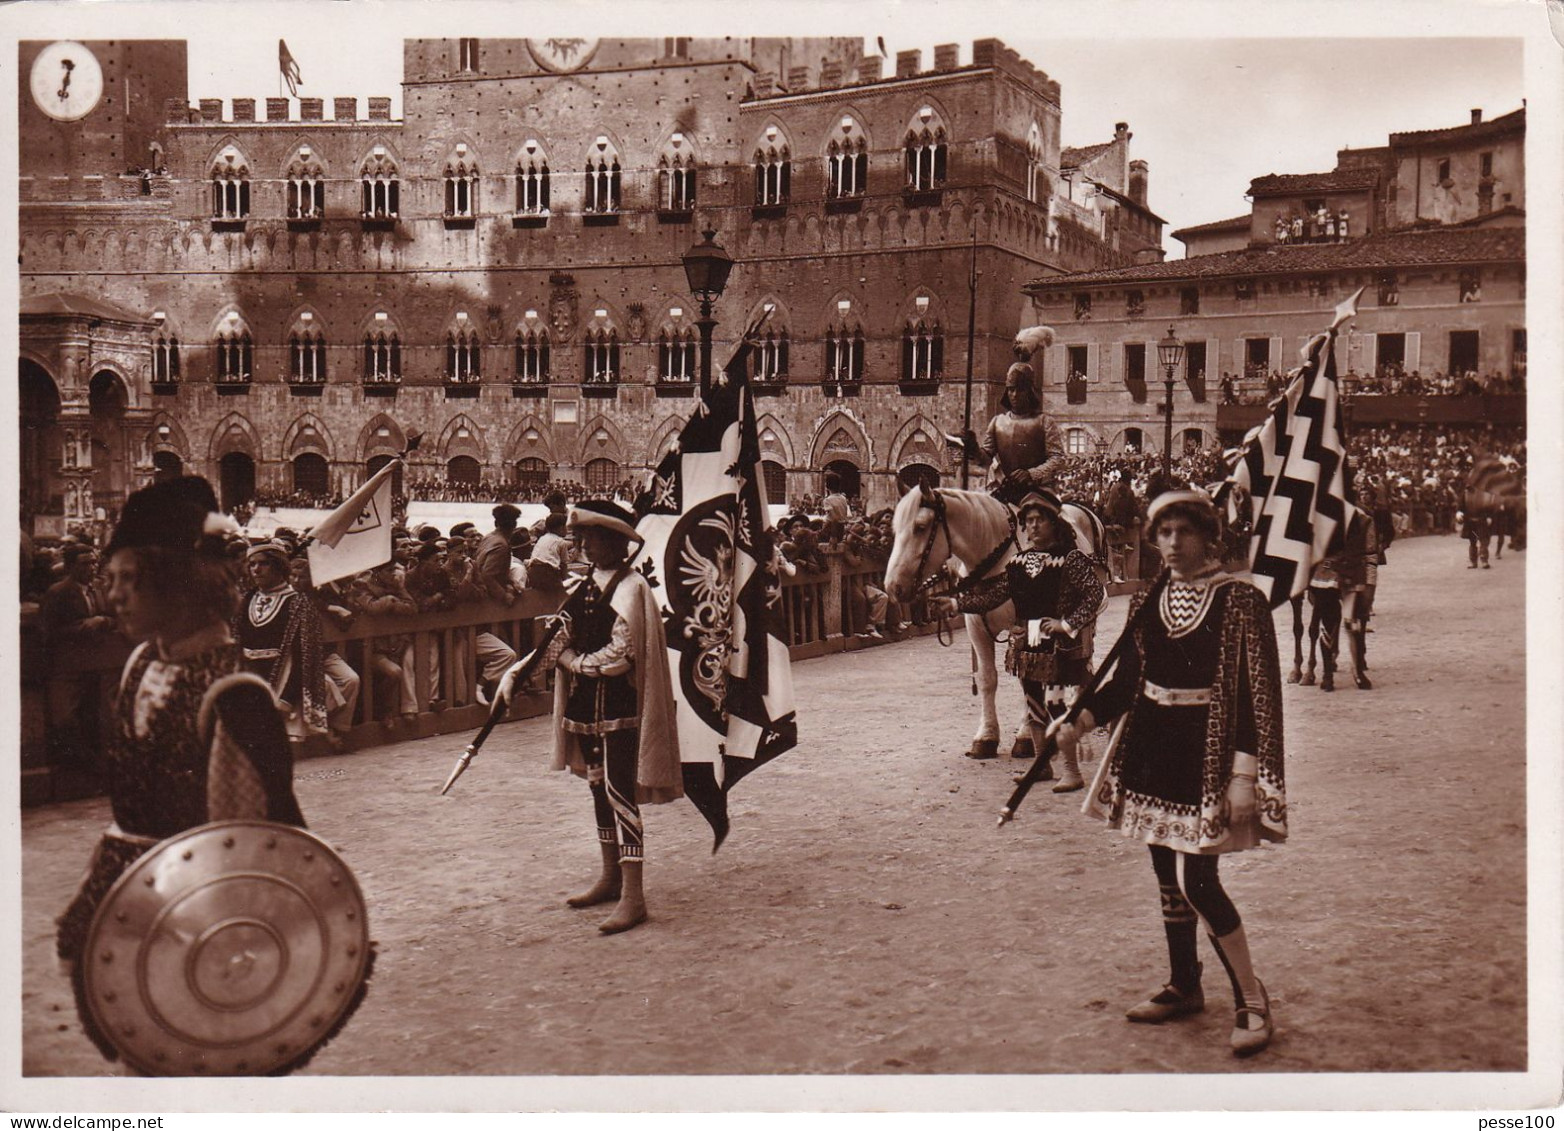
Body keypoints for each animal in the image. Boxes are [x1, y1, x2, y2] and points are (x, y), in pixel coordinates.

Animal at [888, 484, 1107, 760]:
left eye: (920, 526)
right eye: (895, 528)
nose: (892, 587)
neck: (992, 557)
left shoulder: (1023, 625)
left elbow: (1027, 676)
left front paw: (1025, 737)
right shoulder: (976, 628)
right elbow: (987, 679)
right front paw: (986, 736)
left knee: (1082, 657)